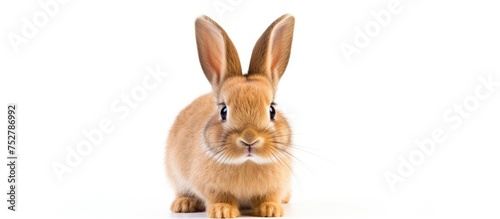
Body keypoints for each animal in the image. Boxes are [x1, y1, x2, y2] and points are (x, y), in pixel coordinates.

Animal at [166, 14, 294, 218]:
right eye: (223, 111)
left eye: (272, 110)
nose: (249, 139)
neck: (246, 163)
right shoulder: (212, 188)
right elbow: (220, 197)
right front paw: (223, 211)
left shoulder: (275, 187)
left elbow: (269, 196)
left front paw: (271, 210)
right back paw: (184, 204)